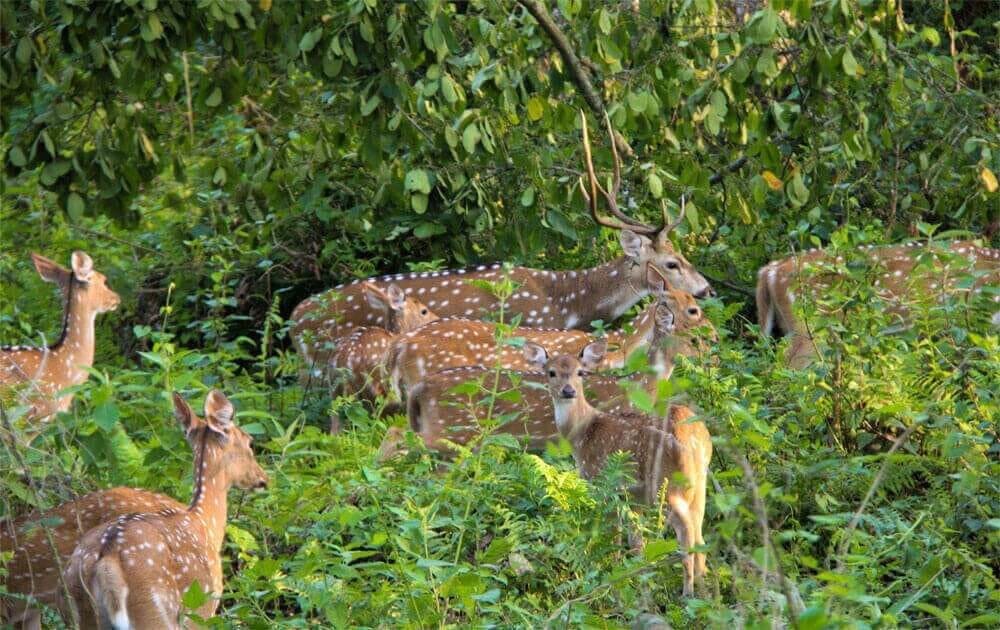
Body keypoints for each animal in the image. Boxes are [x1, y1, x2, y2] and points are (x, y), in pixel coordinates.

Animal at [60, 392, 268, 628]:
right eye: (249, 442)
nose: (262, 479)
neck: (206, 523)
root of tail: (105, 557)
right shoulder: (202, 607)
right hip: (154, 609)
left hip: (77, 608)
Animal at [528, 344, 716, 600]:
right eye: (551, 372)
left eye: (580, 372)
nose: (568, 391)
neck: (582, 434)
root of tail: (692, 436)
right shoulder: (632, 497)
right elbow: (635, 541)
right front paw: (635, 575)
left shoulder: (601, 482)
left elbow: (613, 532)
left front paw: (612, 572)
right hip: (699, 483)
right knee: (700, 536)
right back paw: (705, 589)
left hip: (667, 483)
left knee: (686, 536)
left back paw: (687, 594)